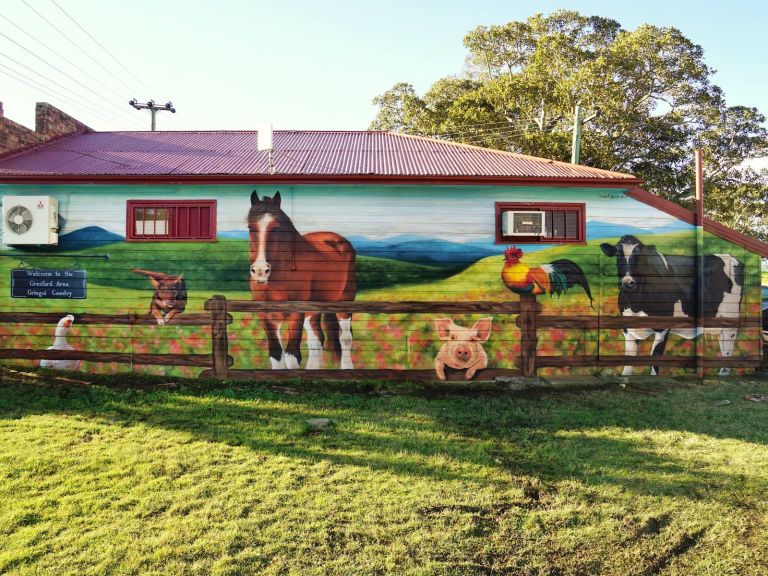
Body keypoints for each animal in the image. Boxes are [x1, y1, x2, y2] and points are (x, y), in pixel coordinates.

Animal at [248, 189, 356, 368]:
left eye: (276, 228)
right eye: (250, 227)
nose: (260, 271)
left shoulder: (295, 315)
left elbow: (292, 355)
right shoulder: (267, 316)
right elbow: (276, 355)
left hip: (344, 301)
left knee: (345, 338)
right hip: (313, 310)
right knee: (316, 340)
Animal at [600, 235, 744, 376]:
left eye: (640, 255)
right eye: (618, 254)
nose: (628, 283)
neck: (635, 303)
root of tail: (732, 258)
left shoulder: (663, 327)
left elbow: (655, 359)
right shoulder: (627, 327)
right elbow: (628, 362)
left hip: (730, 316)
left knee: (728, 347)